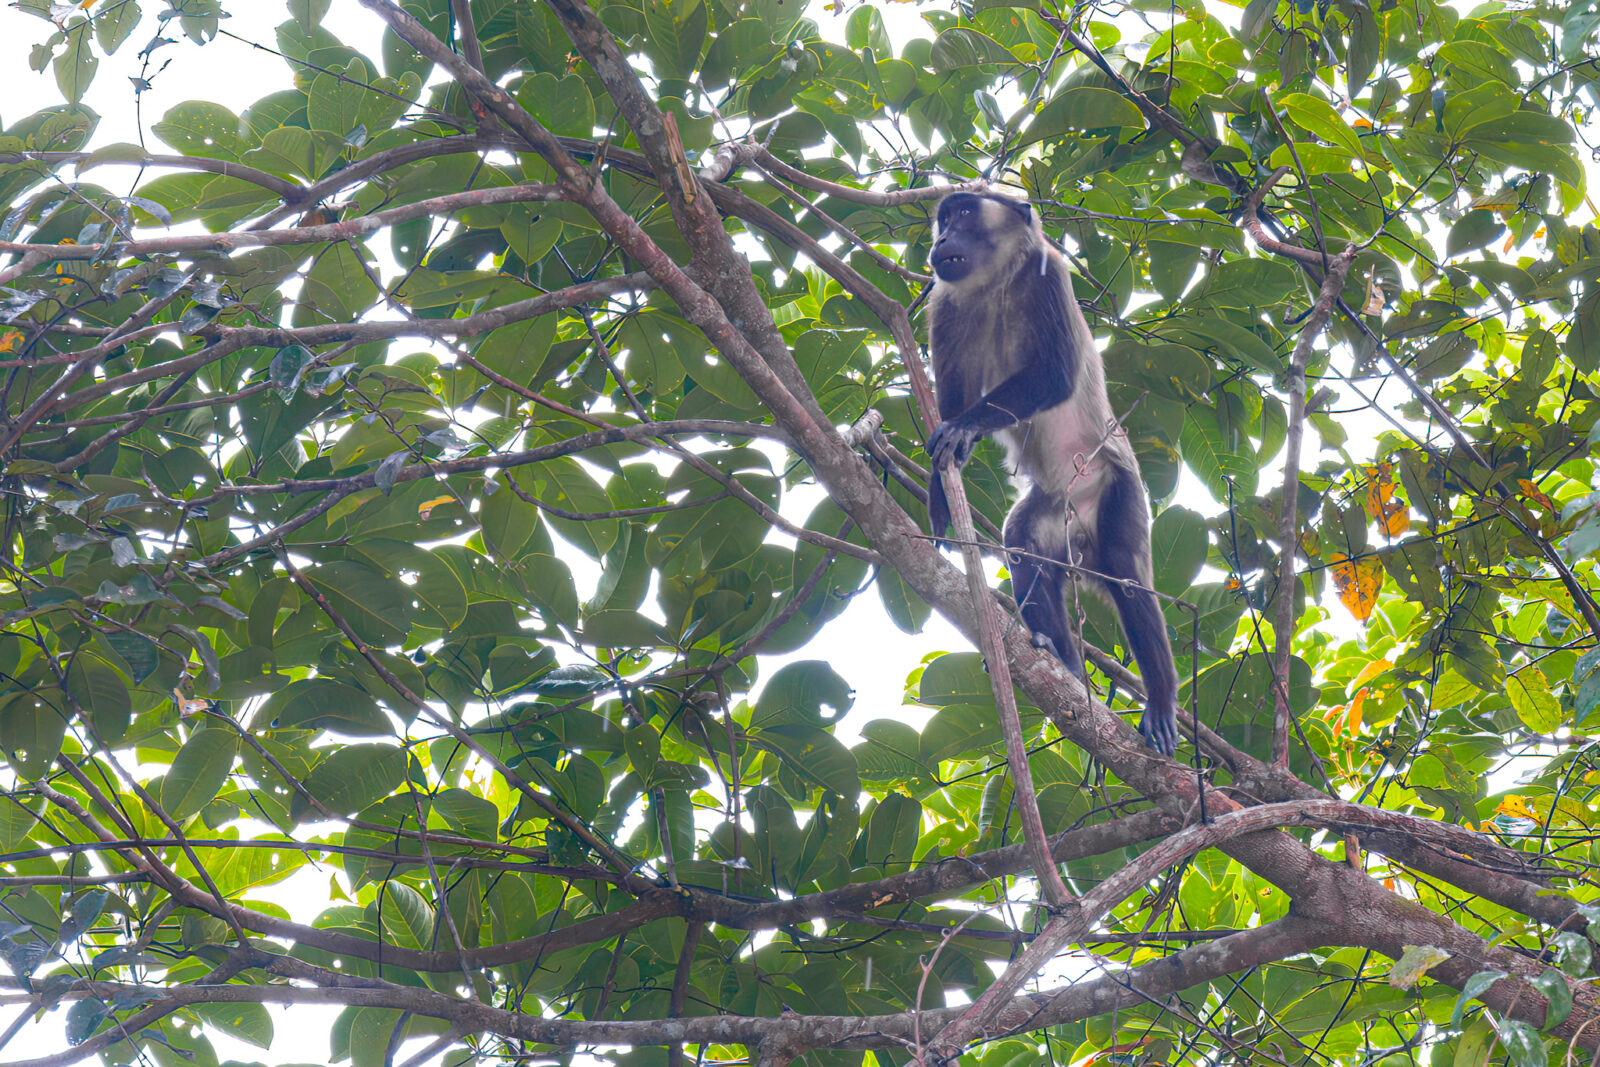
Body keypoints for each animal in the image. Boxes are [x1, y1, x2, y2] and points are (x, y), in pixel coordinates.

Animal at [924, 190, 1181, 757]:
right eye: (943, 219)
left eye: (964, 214)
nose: (941, 236)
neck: (995, 281)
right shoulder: (943, 302)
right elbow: (948, 402)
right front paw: (939, 499)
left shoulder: (1049, 273)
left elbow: (1058, 374)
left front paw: (966, 427)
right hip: (1053, 511)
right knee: (1023, 544)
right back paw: (1061, 658)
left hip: (1117, 488)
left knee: (1126, 571)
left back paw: (1160, 700)